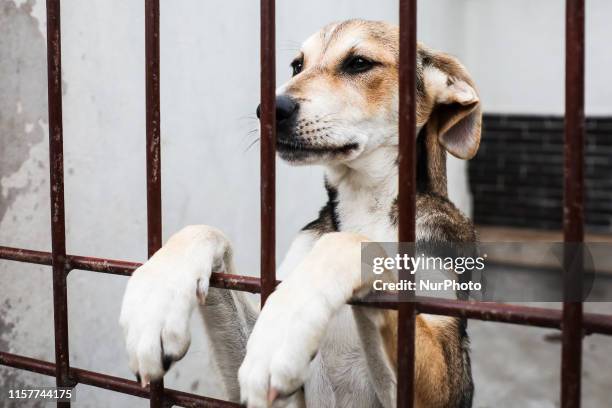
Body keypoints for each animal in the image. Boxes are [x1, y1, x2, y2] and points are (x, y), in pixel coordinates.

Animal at [120, 19, 482, 408]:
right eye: (297, 66)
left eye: (359, 63)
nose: (269, 109)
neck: (366, 205)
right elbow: (204, 230)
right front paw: (156, 300)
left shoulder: (446, 380)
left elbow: (349, 243)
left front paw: (283, 328)